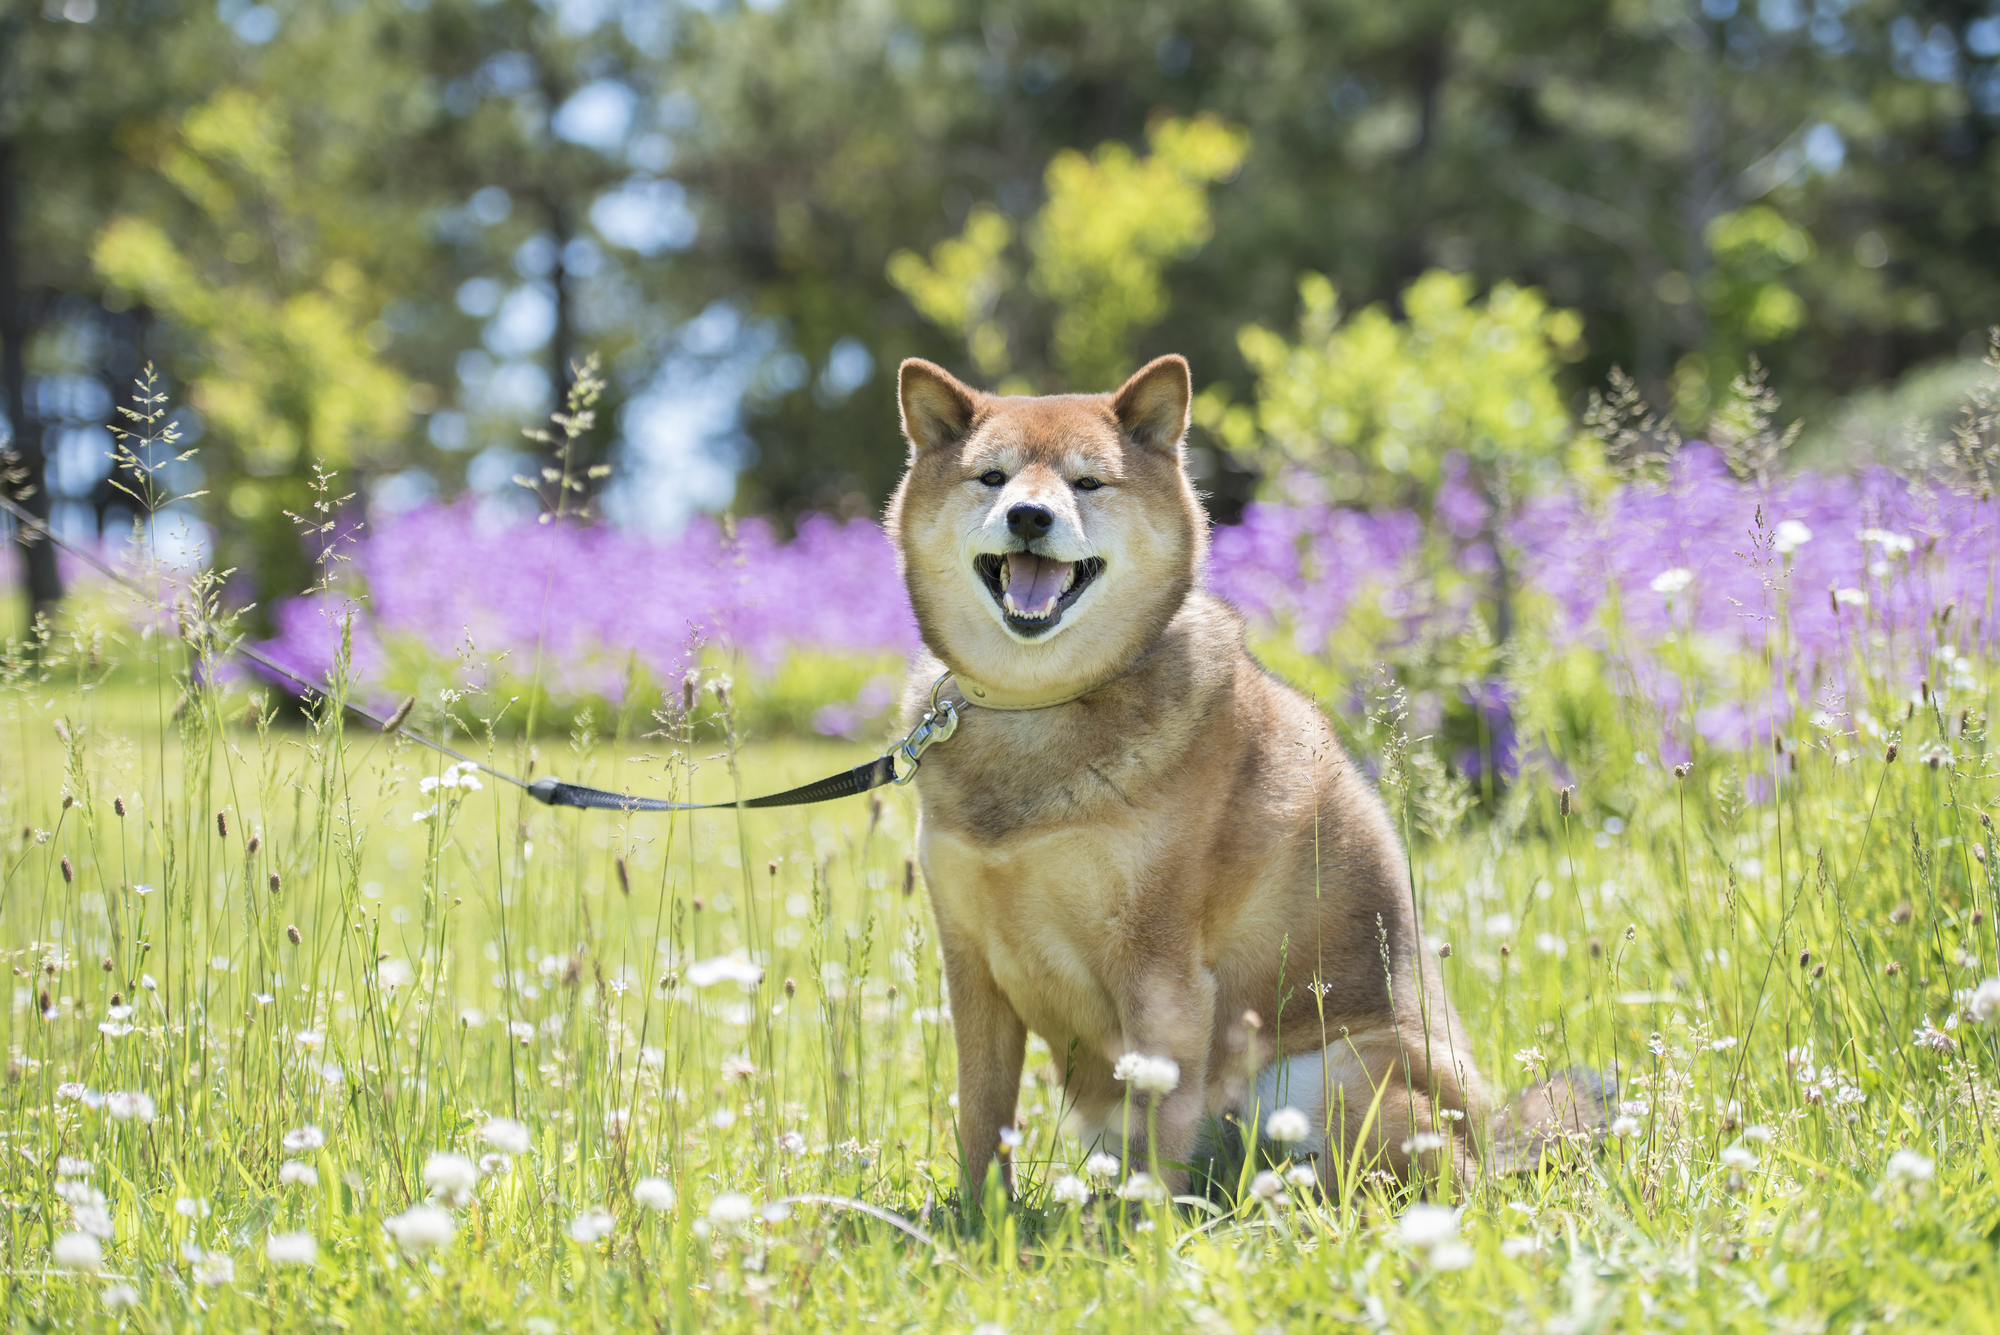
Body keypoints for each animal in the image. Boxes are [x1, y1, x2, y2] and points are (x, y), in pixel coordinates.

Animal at [892, 353, 1592, 1199]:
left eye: (1088, 482)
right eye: (992, 477)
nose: (1029, 516)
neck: (1037, 708)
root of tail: (1492, 1140)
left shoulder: (1160, 969)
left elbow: (1160, 1128)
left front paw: (1140, 1221)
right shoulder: (972, 966)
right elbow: (981, 1114)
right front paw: (978, 1215)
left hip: (1325, 1072)